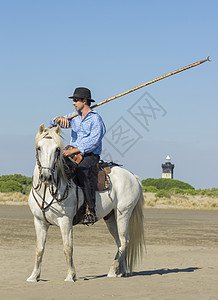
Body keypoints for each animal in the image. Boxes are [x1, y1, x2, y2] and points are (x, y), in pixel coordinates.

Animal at [27, 123, 146, 282]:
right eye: (39, 147)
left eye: (57, 149)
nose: (46, 176)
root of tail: (133, 176)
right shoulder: (39, 221)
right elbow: (39, 249)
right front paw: (34, 276)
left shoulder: (65, 221)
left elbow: (67, 247)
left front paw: (70, 276)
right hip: (111, 217)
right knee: (121, 241)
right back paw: (121, 271)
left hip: (123, 213)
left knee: (124, 241)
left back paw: (112, 271)